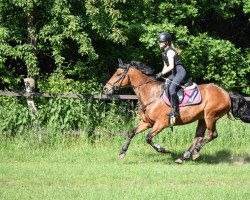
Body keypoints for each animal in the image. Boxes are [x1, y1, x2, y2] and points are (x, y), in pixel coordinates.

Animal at [103, 60, 250, 163]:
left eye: (118, 74)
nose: (105, 89)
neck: (152, 93)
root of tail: (226, 93)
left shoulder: (161, 124)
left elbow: (148, 138)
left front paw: (163, 149)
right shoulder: (147, 122)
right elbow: (131, 133)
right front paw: (122, 152)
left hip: (210, 116)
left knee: (212, 135)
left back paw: (195, 151)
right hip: (202, 118)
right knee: (198, 137)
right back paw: (186, 155)